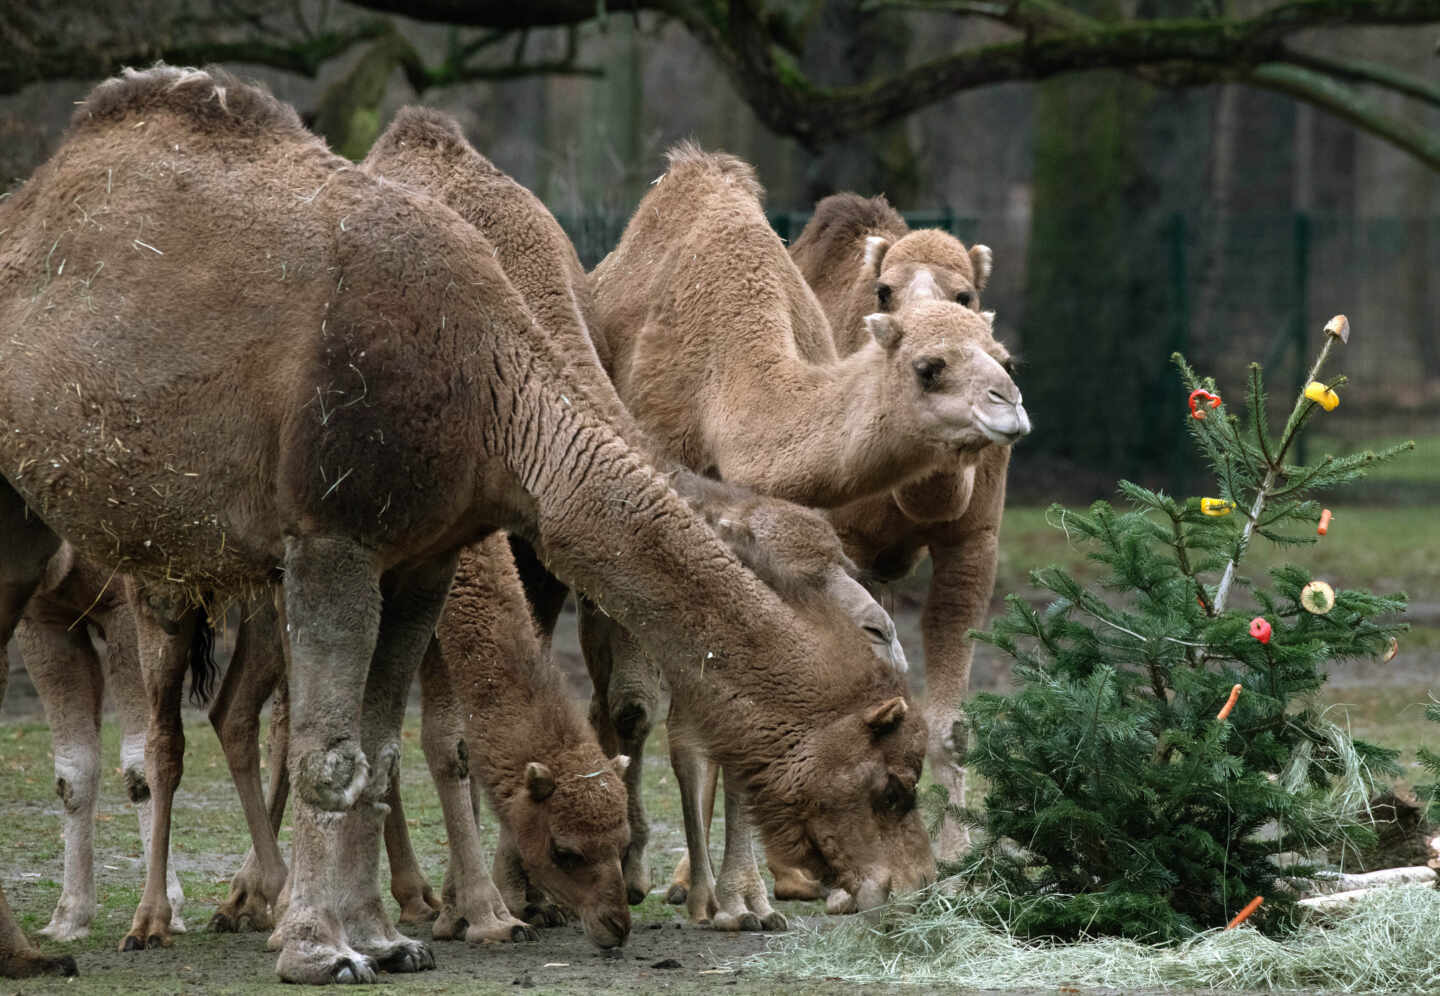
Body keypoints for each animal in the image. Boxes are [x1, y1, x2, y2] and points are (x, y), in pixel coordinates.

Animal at [10, 544, 188, 944]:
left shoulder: (127, 604)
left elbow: (140, 766)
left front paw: (163, 912)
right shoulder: (42, 617)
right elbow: (73, 771)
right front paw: (70, 917)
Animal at [789, 189, 1025, 857]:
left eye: (966, 295)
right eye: (884, 291)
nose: (928, 349)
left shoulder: (973, 542)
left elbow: (953, 726)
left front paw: (955, 854)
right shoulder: (847, 545)